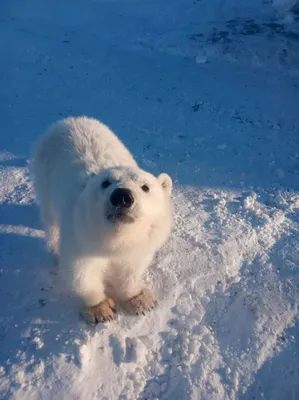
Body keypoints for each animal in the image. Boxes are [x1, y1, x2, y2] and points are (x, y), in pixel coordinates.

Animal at [31, 116, 173, 324]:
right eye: (105, 183)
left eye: (145, 187)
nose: (122, 196)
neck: (113, 240)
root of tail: (67, 120)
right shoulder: (81, 238)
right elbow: (82, 273)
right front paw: (100, 310)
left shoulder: (139, 244)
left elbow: (131, 269)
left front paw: (140, 300)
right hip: (44, 178)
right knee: (51, 220)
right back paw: (55, 248)